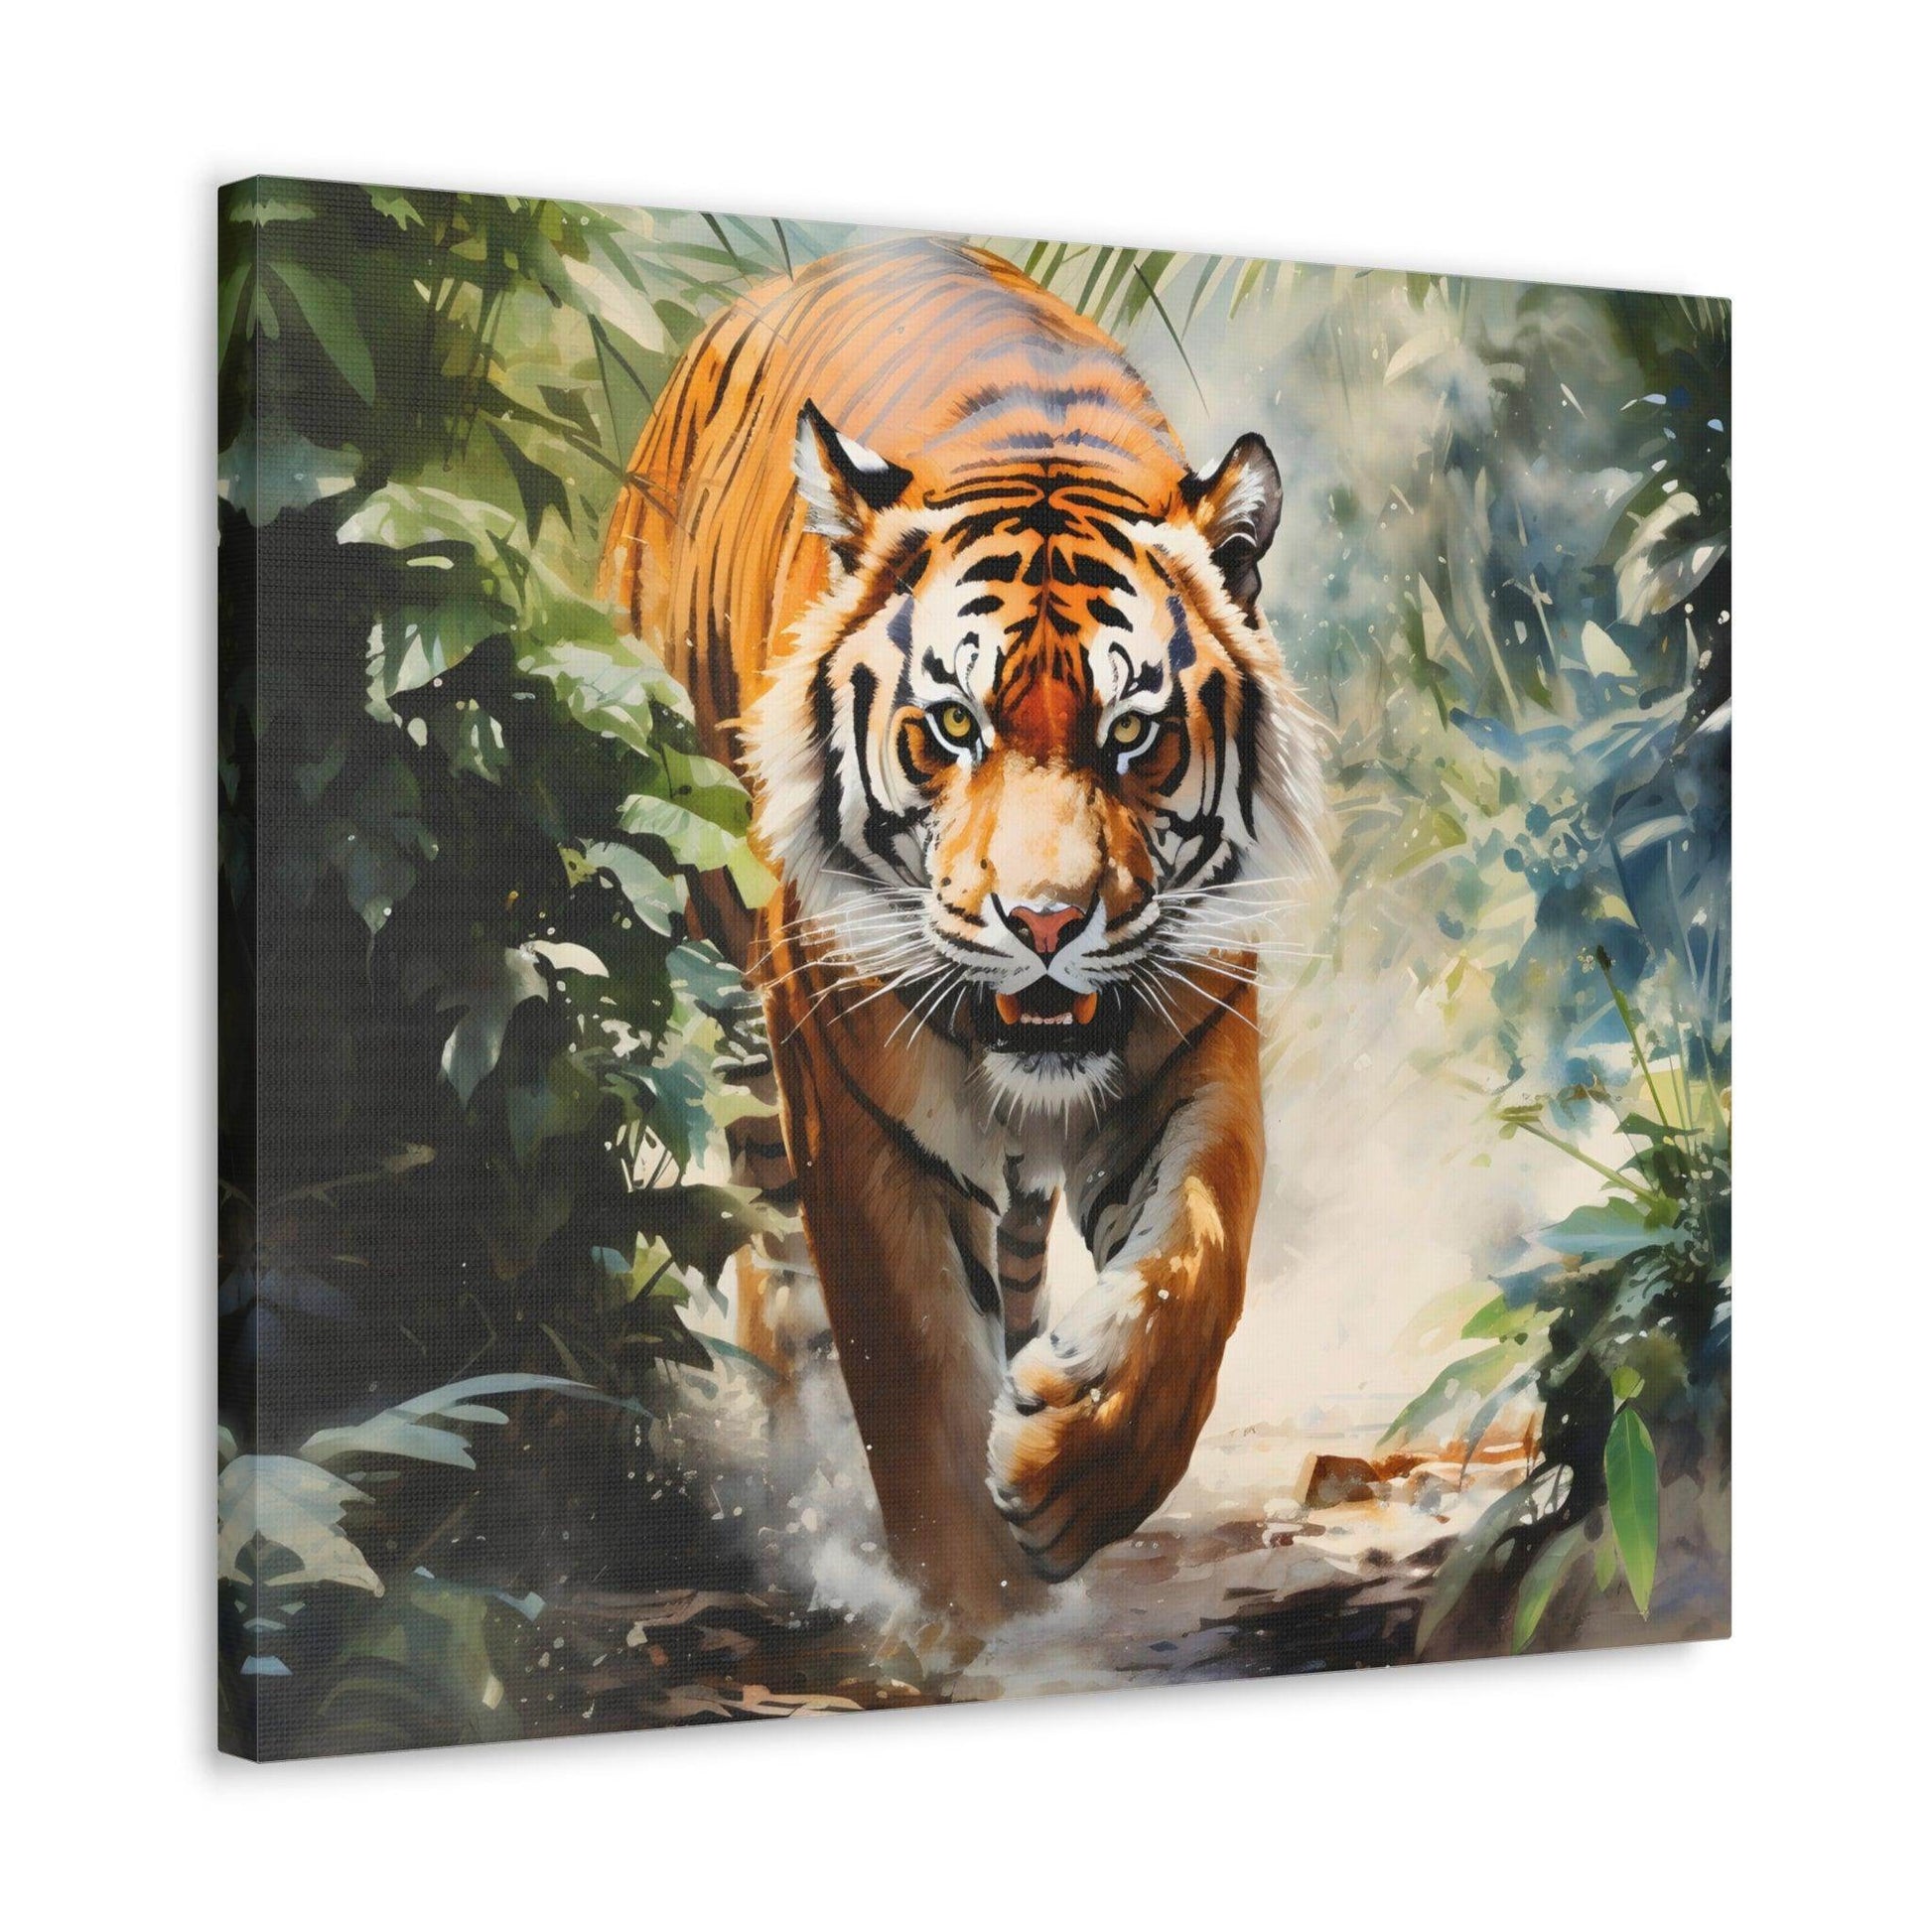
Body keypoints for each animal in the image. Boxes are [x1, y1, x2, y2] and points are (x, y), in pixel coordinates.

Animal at [602, 235, 1325, 1627]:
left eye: (1132, 733)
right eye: (952, 726)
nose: (1043, 920)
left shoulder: (1191, 1038)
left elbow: (1197, 1261)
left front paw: (1068, 1465)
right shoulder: (857, 1106)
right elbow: (916, 1377)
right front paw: (975, 1618)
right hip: (732, 1021)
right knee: (780, 1298)